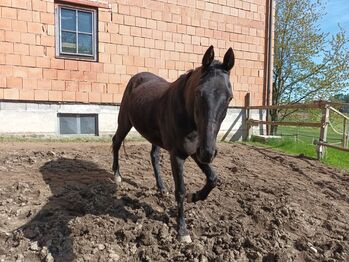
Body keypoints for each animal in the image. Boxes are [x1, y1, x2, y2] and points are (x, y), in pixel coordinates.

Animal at [112, 45, 234, 244]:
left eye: (229, 97)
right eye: (199, 93)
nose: (209, 152)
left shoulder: (195, 151)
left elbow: (213, 178)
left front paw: (195, 196)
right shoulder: (177, 155)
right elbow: (181, 191)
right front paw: (182, 230)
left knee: (154, 156)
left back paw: (161, 188)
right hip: (124, 122)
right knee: (116, 142)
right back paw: (117, 175)